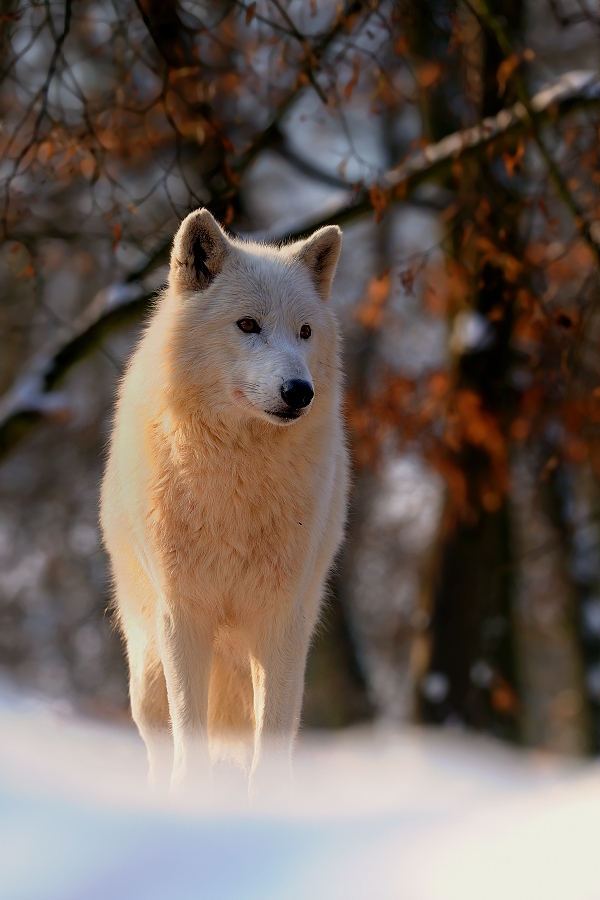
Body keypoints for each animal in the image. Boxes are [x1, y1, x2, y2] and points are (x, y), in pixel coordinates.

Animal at [100, 208, 348, 799]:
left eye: (305, 331)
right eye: (248, 325)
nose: (299, 391)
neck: (235, 482)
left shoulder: (280, 620)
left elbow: (273, 737)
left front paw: (268, 802)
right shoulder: (183, 616)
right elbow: (189, 732)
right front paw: (194, 797)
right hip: (147, 668)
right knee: (160, 739)